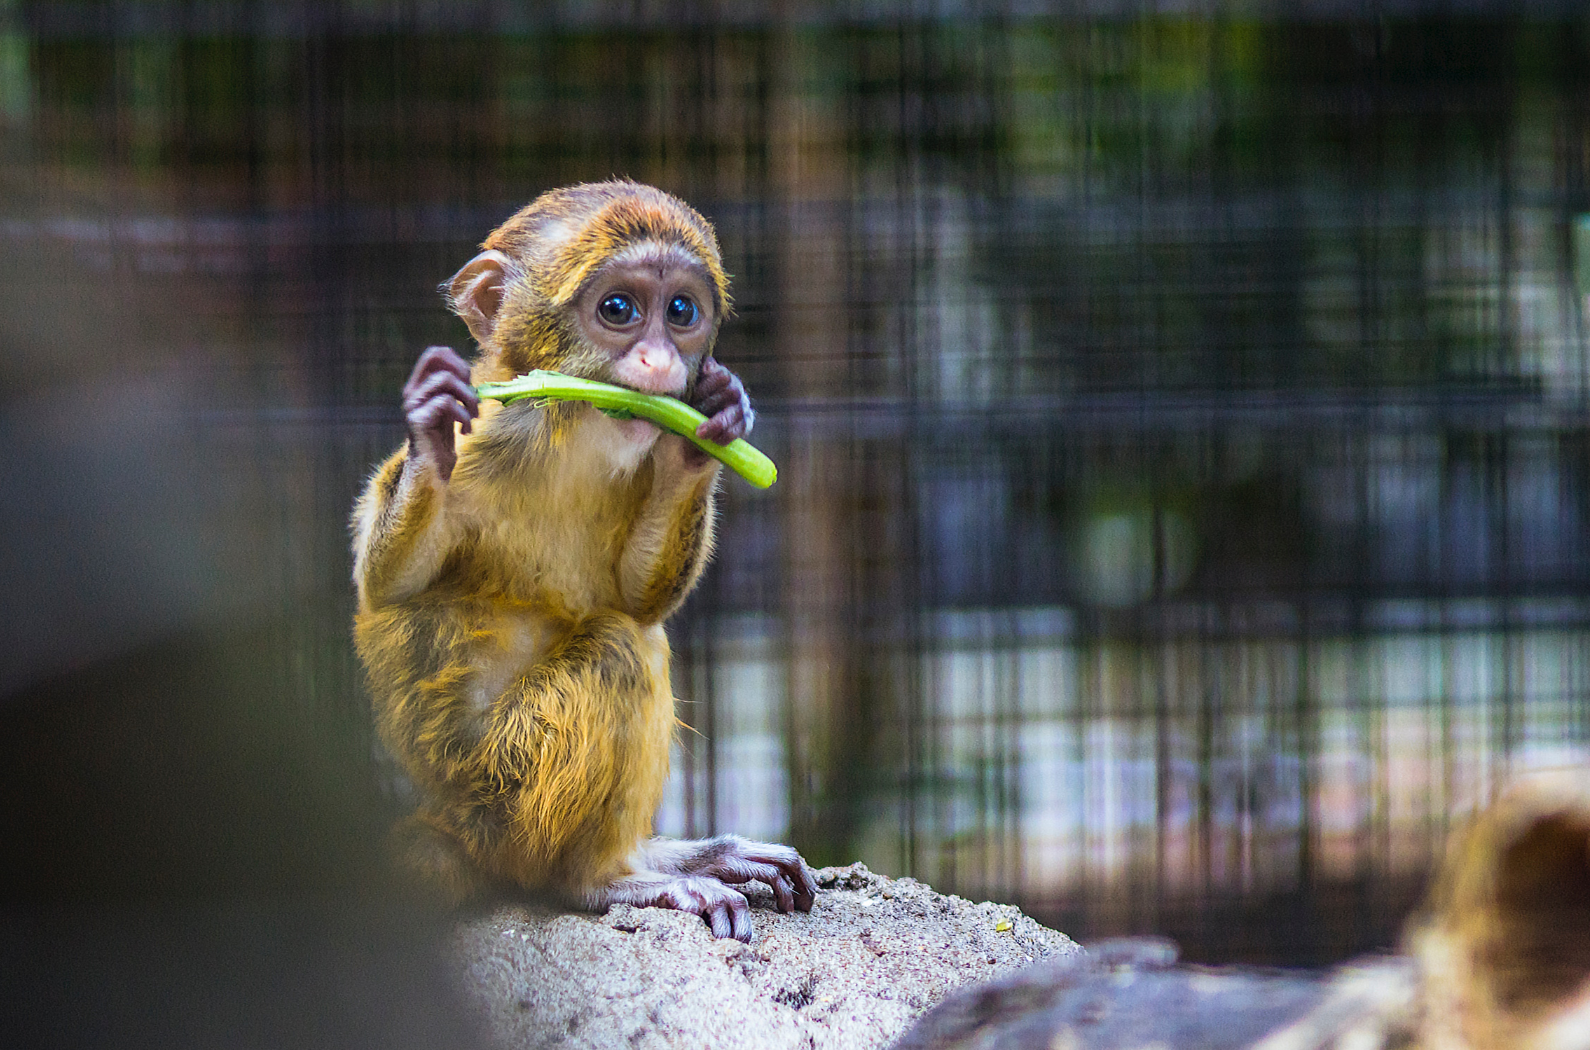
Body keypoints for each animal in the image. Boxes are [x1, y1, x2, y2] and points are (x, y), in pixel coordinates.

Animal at [352, 180, 814, 941]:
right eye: (618, 310)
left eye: (681, 312)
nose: (661, 363)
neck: (570, 431)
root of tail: (450, 824)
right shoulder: (491, 435)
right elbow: (389, 585)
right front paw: (429, 433)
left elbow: (636, 597)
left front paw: (706, 431)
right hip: (504, 793)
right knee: (620, 651)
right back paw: (598, 879)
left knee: (634, 632)